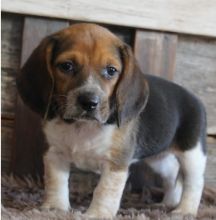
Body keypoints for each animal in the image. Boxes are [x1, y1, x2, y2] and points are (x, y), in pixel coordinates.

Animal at [16, 23, 206, 217]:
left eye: (111, 70)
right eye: (66, 66)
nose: (89, 102)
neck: (83, 126)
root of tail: (195, 98)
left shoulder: (115, 163)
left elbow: (104, 191)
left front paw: (96, 214)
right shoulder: (55, 153)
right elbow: (56, 182)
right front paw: (55, 208)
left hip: (193, 154)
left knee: (194, 182)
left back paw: (185, 210)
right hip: (160, 158)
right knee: (173, 174)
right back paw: (168, 203)